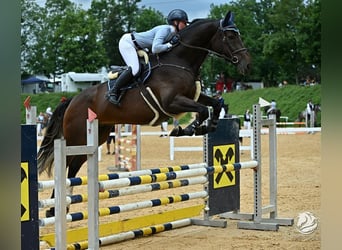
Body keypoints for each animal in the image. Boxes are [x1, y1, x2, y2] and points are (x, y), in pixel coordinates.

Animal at [38, 10, 251, 216]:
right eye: (231, 36)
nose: (246, 64)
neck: (180, 60)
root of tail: (72, 100)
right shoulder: (171, 102)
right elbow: (202, 110)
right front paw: (187, 129)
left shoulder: (194, 96)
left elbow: (215, 104)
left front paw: (208, 126)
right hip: (76, 138)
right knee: (65, 165)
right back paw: (53, 208)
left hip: (96, 137)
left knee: (74, 167)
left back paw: (63, 207)